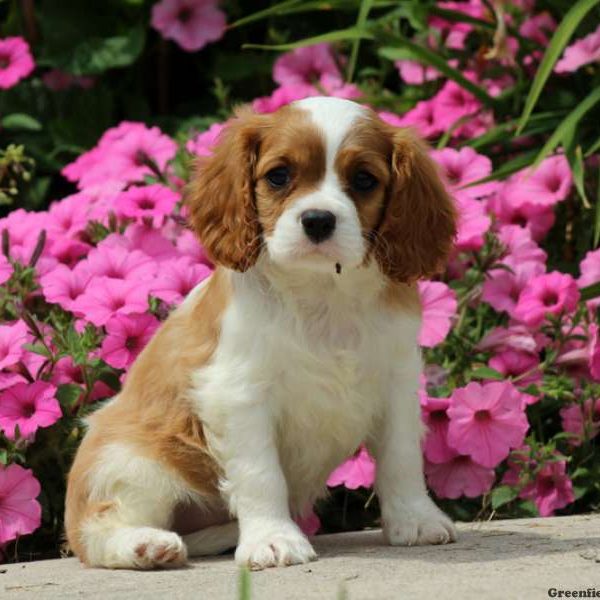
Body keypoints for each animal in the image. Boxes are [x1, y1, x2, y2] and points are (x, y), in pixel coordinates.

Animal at [65, 96, 458, 568]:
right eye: (279, 176)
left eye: (364, 179)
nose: (318, 220)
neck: (323, 291)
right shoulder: (240, 395)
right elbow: (260, 473)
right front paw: (273, 539)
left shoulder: (396, 383)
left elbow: (401, 458)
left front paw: (416, 521)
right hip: (134, 463)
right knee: (98, 531)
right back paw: (148, 546)